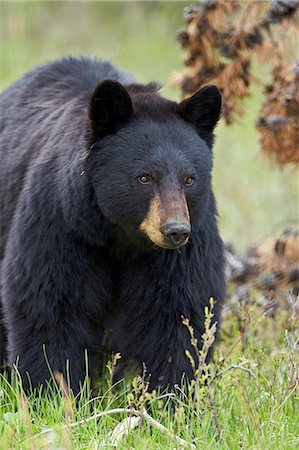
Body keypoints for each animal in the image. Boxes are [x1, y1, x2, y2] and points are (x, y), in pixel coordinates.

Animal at [0, 56, 225, 394]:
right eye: (144, 177)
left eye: (189, 179)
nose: (175, 231)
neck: (122, 237)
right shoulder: (61, 223)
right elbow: (49, 305)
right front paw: (51, 392)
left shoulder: (187, 243)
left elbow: (180, 314)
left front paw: (171, 395)